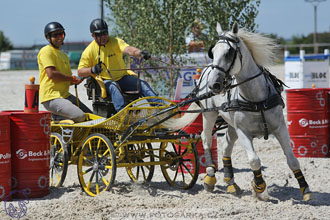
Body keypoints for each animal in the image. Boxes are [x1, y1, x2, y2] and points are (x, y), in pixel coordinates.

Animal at [165, 22, 312, 201]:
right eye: (213, 52)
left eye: (229, 53)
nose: (214, 85)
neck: (256, 99)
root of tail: (205, 70)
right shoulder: (243, 132)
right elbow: (254, 160)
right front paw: (259, 188)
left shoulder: (280, 128)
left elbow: (292, 159)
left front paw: (305, 189)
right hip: (209, 115)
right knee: (206, 139)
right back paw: (209, 177)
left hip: (230, 124)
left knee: (226, 146)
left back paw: (230, 182)